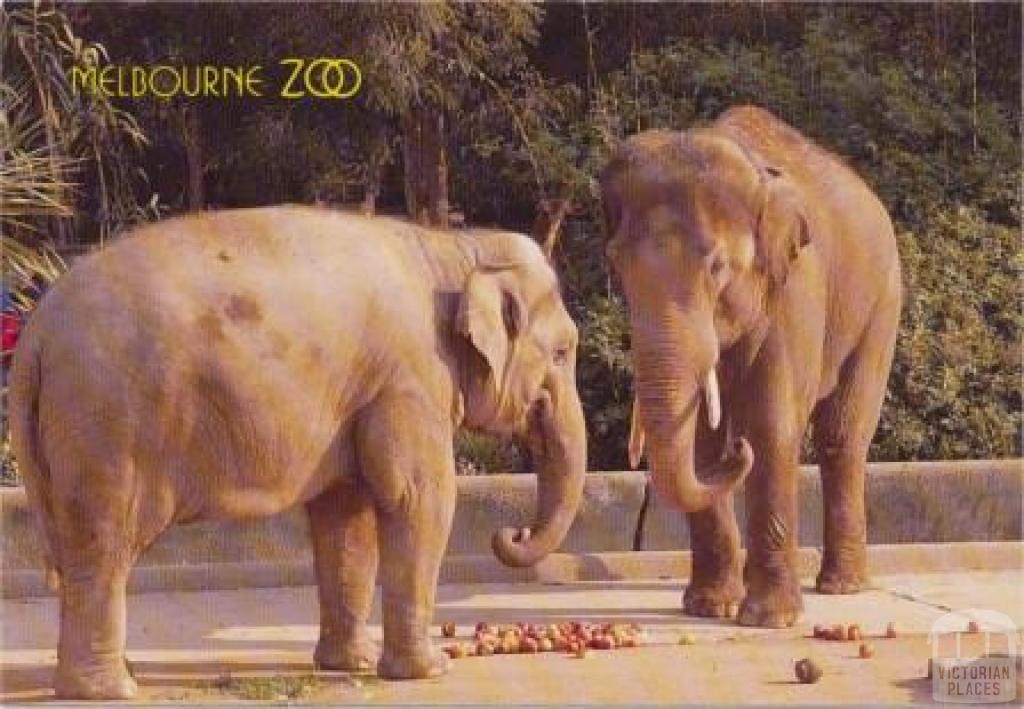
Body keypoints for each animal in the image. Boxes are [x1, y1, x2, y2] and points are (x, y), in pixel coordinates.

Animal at [8, 207, 585, 700]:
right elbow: (419, 499)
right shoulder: (411, 379)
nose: (512, 532)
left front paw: (351, 664)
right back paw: (110, 690)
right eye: (561, 352)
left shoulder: (361, 396)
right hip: (107, 423)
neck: (453, 247)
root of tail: (35, 334)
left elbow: (346, 515)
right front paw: (429, 671)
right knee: (104, 542)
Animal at [602, 105, 901, 627]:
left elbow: (772, 426)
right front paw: (709, 607)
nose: (735, 450)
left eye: (718, 267)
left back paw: (841, 587)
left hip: (882, 303)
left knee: (840, 437)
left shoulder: (796, 287)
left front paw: (769, 620)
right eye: (617, 266)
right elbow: (702, 442)